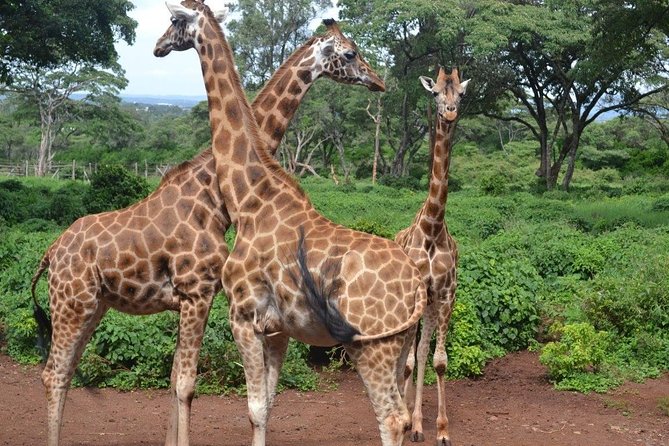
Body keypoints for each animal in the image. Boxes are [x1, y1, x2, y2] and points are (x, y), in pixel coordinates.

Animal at [30, 12, 386, 446]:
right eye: (351, 53)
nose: (378, 81)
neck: (213, 195)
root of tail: (50, 253)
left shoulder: (193, 297)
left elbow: (174, 380)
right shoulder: (197, 291)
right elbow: (186, 384)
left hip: (93, 304)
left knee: (63, 371)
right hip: (72, 302)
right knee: (53, 373)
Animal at [154, 1, 427, 445]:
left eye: (175, 21)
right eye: (351, 52)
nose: (158, 47)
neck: (249, 198)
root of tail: (417, 285)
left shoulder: (242, 316)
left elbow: (252, 407)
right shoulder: (278, 329)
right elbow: (267, 407)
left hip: (373, 346)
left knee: (391, 418)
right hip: (402, 341)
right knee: (400, 412)